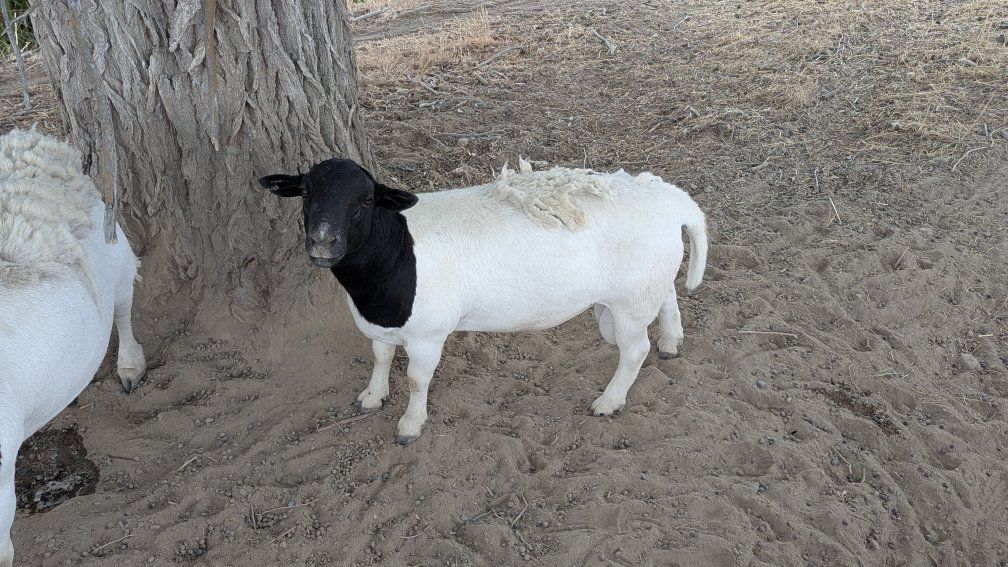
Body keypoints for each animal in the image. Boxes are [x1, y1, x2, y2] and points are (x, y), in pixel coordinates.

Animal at [258, 157, 707, 444]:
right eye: (305, 194)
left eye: (365, 200)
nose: (322, 242)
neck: (396, 251)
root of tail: (672, 199)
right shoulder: (383, 324)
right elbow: (381, 357)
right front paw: (372, 396)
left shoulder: (428, 334)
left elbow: (417, 379)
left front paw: (410, 424)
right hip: (645, 283)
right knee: (668, 296)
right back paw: (671, 342)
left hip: (628, 300)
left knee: (634, 350)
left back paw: (610, 401)